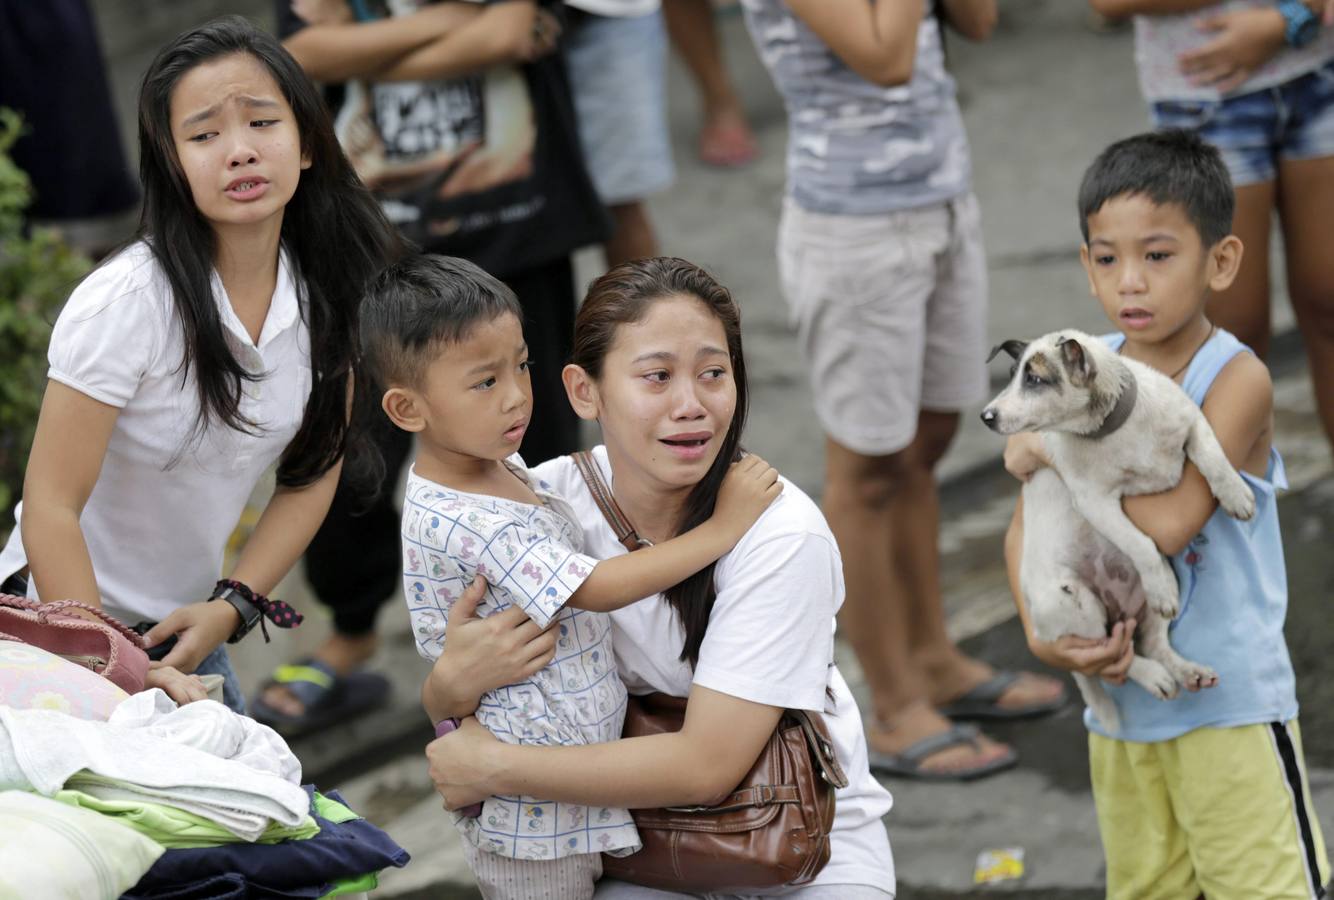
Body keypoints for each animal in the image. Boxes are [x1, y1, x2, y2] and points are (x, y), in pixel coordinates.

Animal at [981, 330, 1248, 730]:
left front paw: (1236, 494)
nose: (985, 416)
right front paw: (1160, 586)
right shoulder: (1095, 502)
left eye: (1034, 380)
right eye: (1012, 374)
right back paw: (1154, 676)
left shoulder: (1194, 423)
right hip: (1071, 601)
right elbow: (1139, 543)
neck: (1115, 428)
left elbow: (1215, 460)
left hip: (1151, 595)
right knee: (1108, 654)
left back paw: (1187, 672)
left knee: (1152, 643)